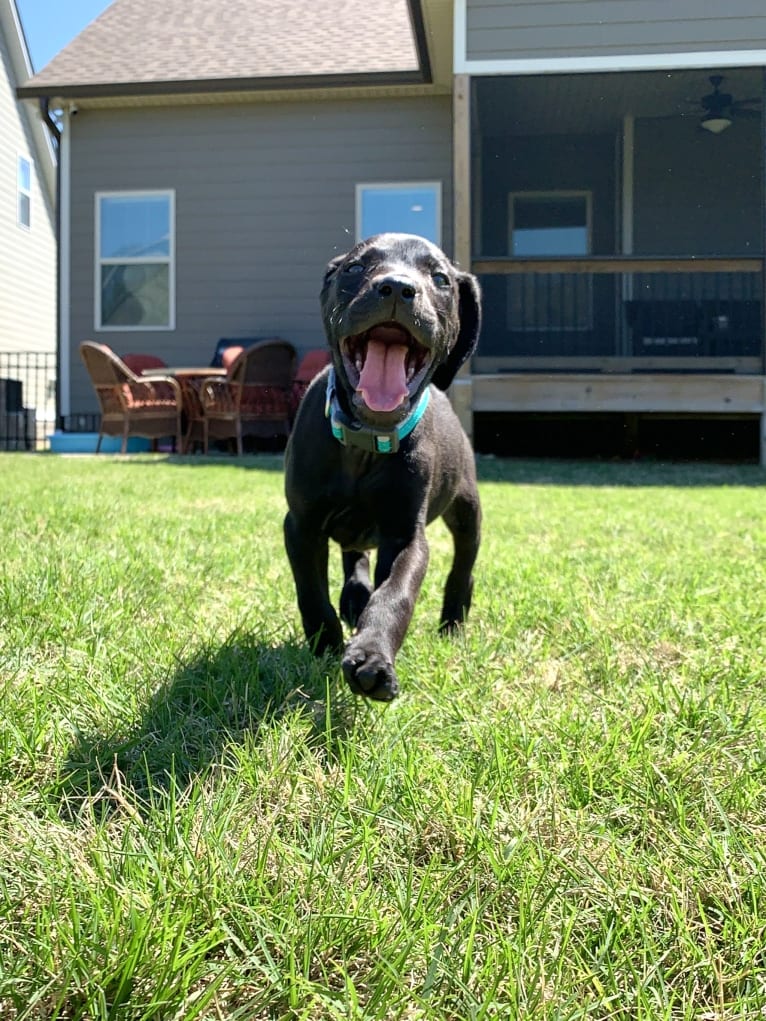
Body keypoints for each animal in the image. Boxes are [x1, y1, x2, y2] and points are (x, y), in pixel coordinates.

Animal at [285, 232, 482, 698]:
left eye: (440, 278)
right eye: (355, 268)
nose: (396, 287)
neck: (365, 443)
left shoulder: (405, 536)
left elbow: (395, 595)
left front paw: (373, 658)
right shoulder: (301, 523)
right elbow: (311, 590)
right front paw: (325, 643)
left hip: (467, 508)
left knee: (462, 565)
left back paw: (453, 621)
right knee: (353, 556)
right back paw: (354, 600)